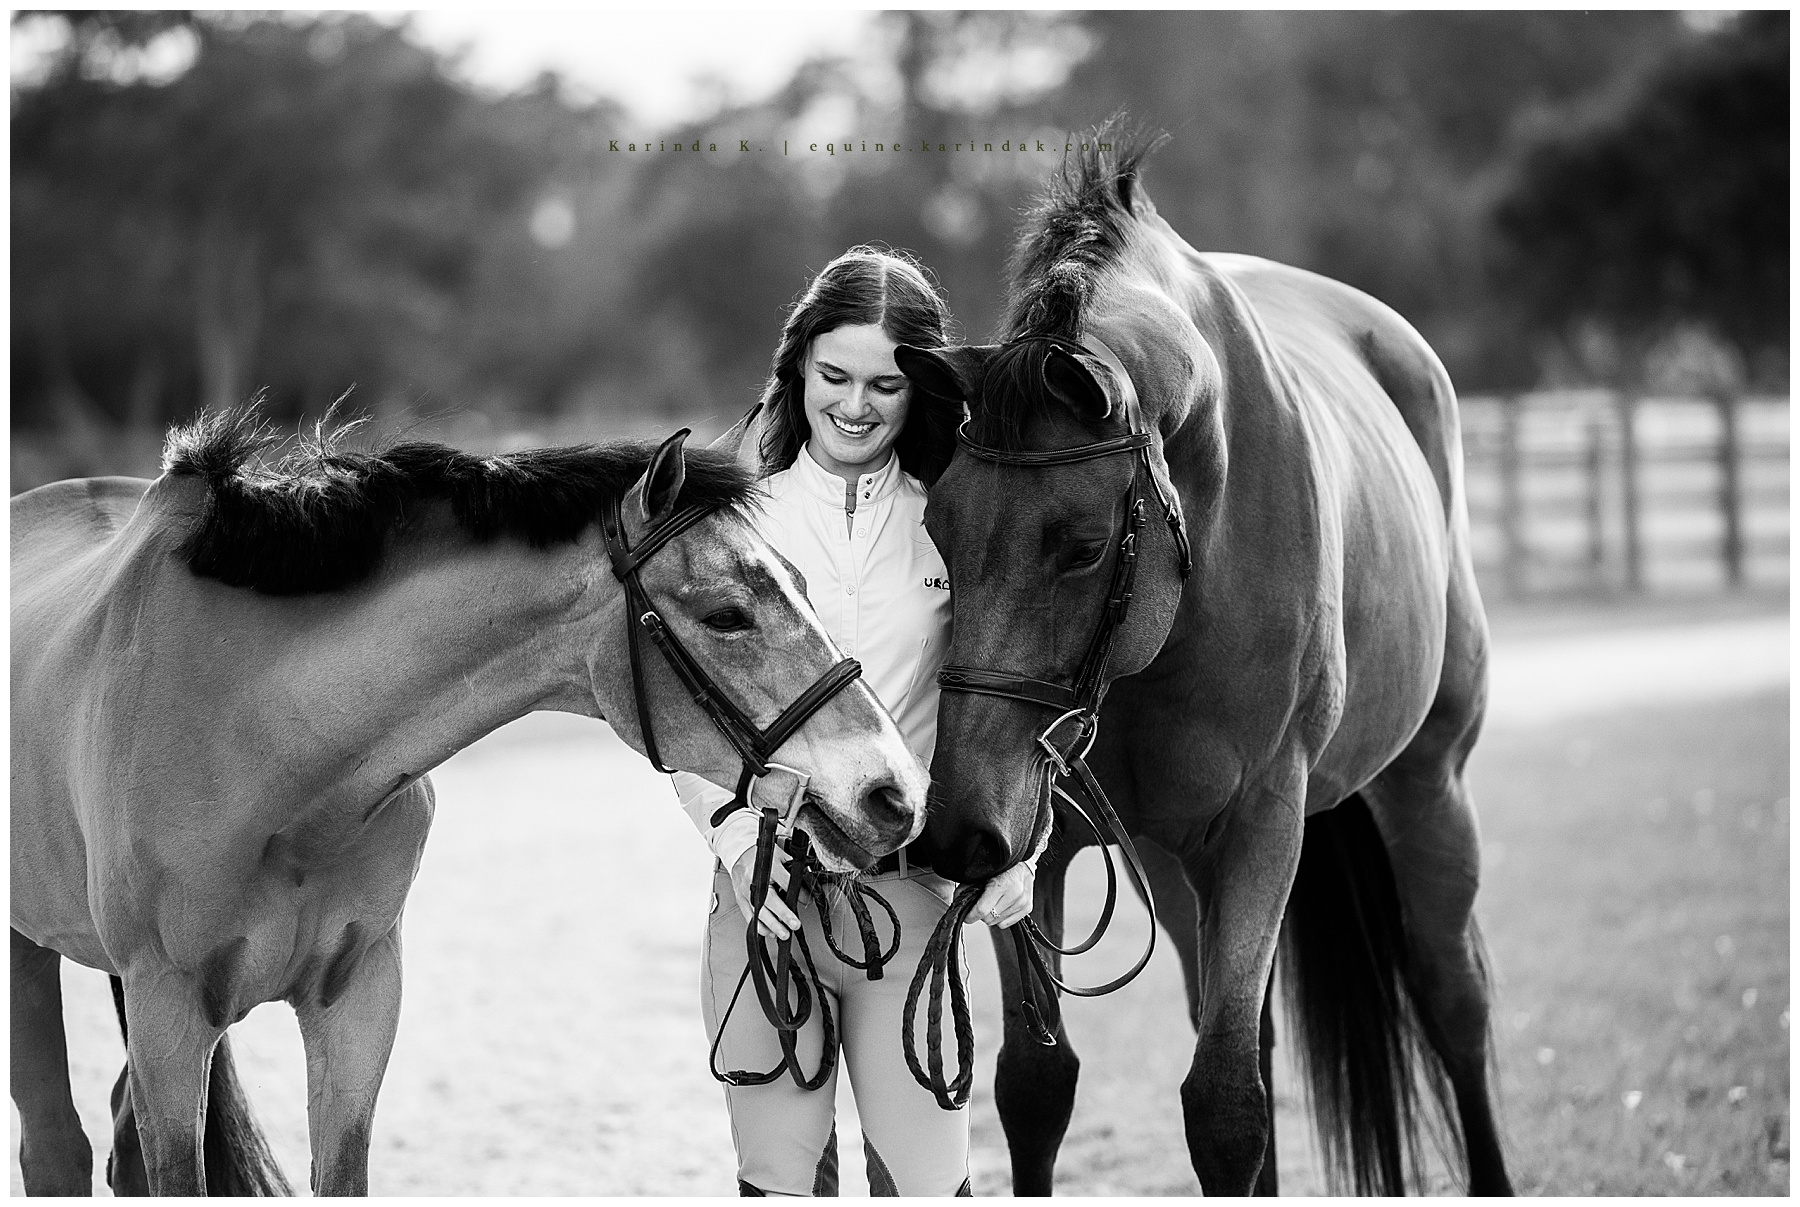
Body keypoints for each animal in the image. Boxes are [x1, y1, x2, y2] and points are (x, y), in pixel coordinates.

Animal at [10, 407, 928, 1196]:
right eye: (728, 614)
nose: (896, 791)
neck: (266, 744)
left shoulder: (359, 999)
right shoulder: (168, 1012)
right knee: (58, 1147)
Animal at [896, 135, 1513, 1195]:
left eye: (1083, 546)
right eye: (939, 528)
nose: (961, 831)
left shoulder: (1262, 822)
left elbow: (1225, 1107)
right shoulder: (1043, 835)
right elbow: (1036, 1085)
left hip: (1426, 783)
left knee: (1453, 997)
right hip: (1173, 860)